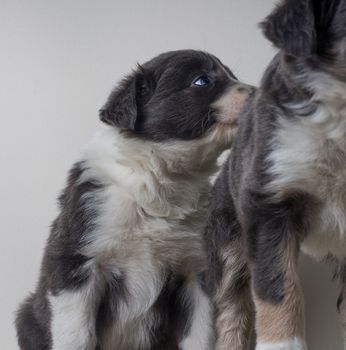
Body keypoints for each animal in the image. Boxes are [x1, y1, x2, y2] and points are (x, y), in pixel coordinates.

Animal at [15, 50, 254, 350]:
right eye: (202, 80)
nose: (258, 92)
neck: (160, 180)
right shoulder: (77, 261)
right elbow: (76, 333)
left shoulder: (196, 270)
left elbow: (200, 332)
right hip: (27, 315)